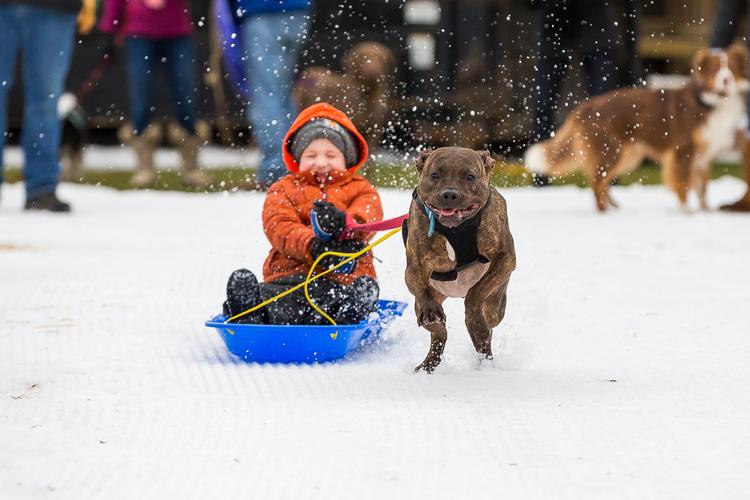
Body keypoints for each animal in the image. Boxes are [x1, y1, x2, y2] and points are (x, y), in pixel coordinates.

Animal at [406, 146, 516, 374]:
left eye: (470, 177)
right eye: (435, 175)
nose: (450, 194)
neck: (455, 229)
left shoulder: (505, 259)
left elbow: (477, 292)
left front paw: (474, 321)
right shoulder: (414, 267)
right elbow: (419, 286)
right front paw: (431, 312)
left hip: (495, 304)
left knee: (488, 324)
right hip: (428, 300)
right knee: (438, 333)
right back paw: (429, 363)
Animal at [524, 43, 750, 213]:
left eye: (732, 67)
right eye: (714, 69)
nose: (726, 79)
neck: (711, 102)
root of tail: (586, 105)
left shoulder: (704, 155)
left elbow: (702, 187)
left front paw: (705, 210)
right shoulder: (683, 150)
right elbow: (683, 182)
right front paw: (687, 211)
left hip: (626, 155)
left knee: (603, 182)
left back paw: (613, 208)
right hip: (610, 150)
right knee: (597, 182)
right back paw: (603, 213)